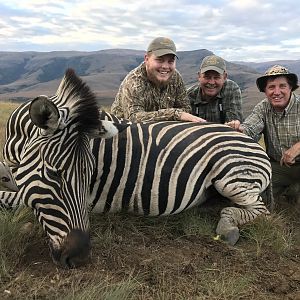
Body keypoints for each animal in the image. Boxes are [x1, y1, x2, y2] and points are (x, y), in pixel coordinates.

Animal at [0, 69, 272, 268]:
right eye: (54, 174)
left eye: (90, 177)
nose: (79, 257)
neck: (15, 141)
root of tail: (245, 135)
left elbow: (6, 197)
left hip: (232, 177)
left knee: (260, 211)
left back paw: (228, 226)